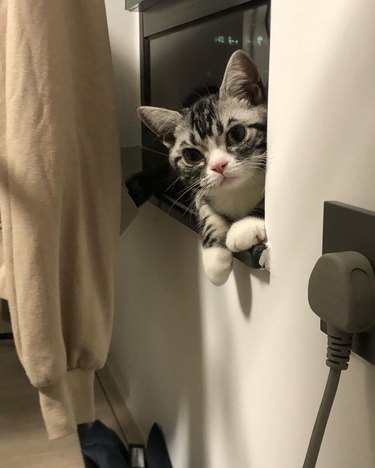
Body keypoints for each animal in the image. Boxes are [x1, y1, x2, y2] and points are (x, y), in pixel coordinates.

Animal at [137, 51, 268, 286]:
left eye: (237, 134)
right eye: (192, 156)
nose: (218, 166)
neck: (237, 191)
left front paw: (245, 226)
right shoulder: (199, 188)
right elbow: (205, 211)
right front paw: (215, 259)